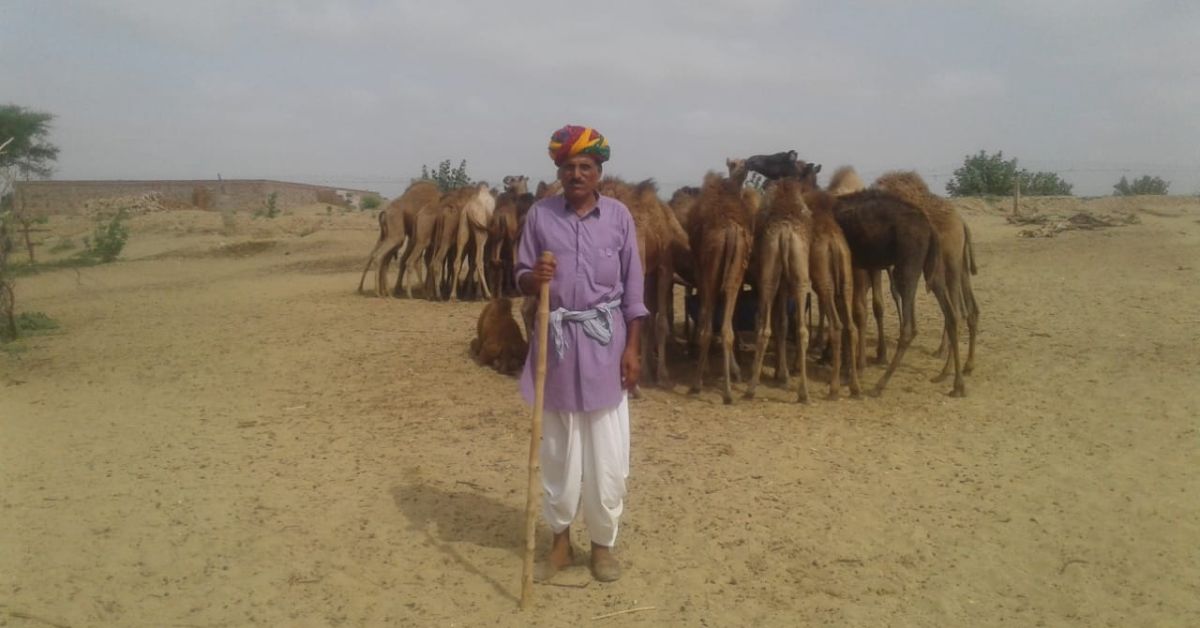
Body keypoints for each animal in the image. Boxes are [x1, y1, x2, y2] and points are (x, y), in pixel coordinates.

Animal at [691, 172, 753, 408]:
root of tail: (730, 231)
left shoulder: (701, 271)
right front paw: (736, 371)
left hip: (710, 271)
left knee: (709, 327)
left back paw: (698, 383)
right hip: (736, 271)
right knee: (727, 329)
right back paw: (728, 392)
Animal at [878, 169, 979, 379]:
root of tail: (962, 223)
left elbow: (896, 291)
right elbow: (896, 291)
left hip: (950, 262)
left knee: (957, 311)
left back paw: (947, 369)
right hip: (960, 263)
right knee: (970, 309)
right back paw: (966, 364)